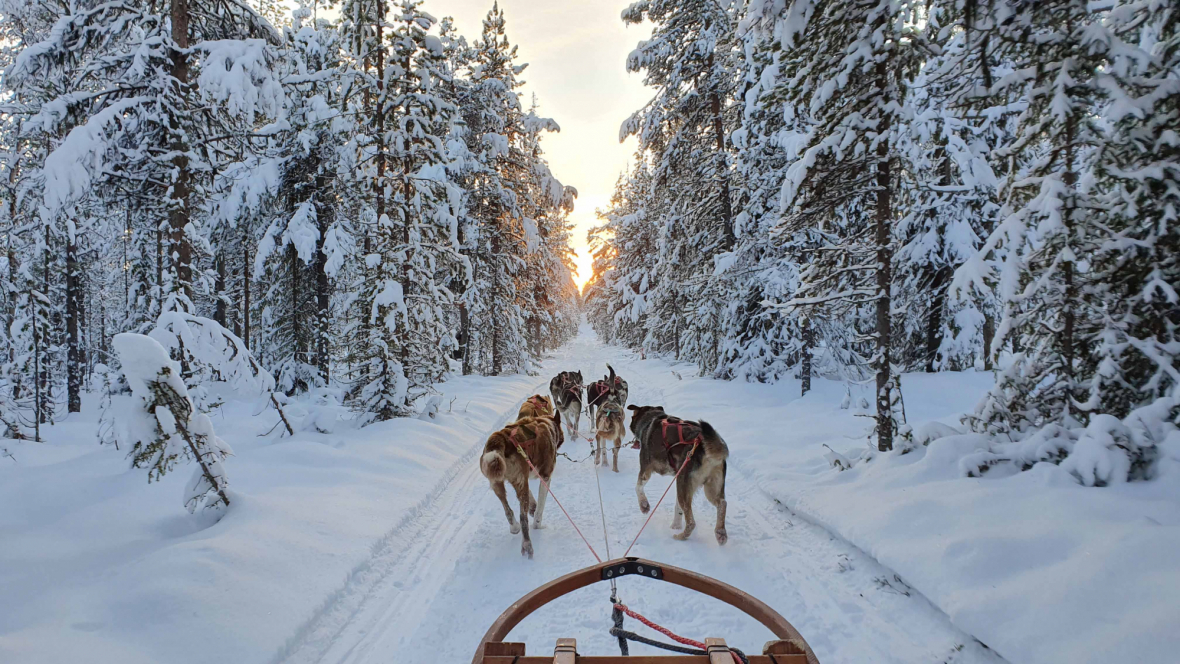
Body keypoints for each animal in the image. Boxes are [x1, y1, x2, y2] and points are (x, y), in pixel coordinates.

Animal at [479, 410, 561, 561]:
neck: (547, 424)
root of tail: (500, 438)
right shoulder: (545, 477)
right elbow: (540, 507)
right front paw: (537, 523)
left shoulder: (524, 476)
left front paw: (533, 508)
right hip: (520, 481)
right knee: (523, 518)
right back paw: (527, 545)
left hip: (497, 482)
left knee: (508, 509)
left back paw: (514, 527)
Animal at [627, 405, 726, 544]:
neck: (651, 419)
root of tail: (702, 446)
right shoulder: (679, 480)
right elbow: (678, 508)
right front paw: (676, 525)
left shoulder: (646, 469)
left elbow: (638, 487)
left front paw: (644, 505)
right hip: (708, 487)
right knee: (722, 504)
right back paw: (720, 533)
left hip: (685, 483)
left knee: (691, 522)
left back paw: (681, 536)